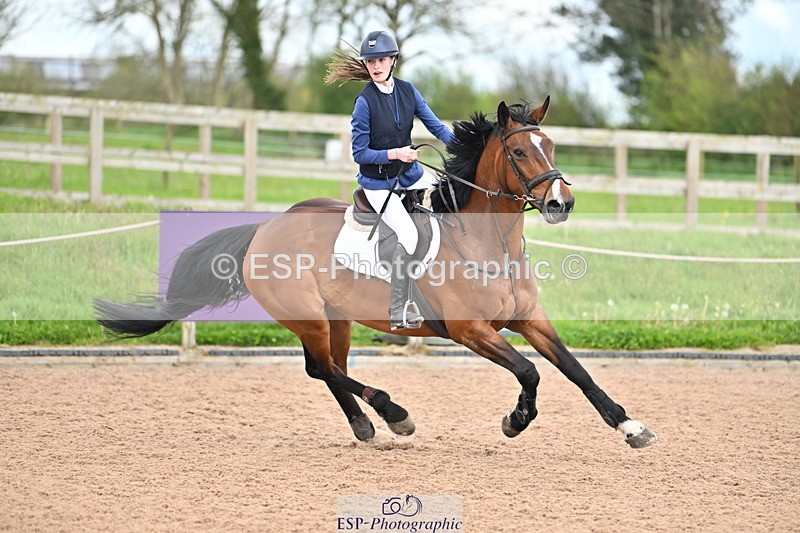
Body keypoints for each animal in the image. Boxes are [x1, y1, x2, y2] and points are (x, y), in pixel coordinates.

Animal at [94, 98, 658, 449]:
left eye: (552, 147)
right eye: (520, 151)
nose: (562, 203)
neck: (486, 242)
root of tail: (264, 229)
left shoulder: (529, 320)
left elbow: (576, 370)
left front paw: (630, 427)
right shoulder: (470, 331)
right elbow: (529, 372)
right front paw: (515, 421)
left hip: (336, 318)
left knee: (328, 368)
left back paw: (368, 425)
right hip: (309, 318)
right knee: (321, 368)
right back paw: (393, 413)